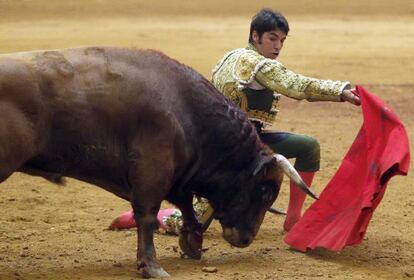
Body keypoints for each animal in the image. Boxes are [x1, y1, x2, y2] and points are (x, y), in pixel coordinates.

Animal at [0, 47, 316, 278]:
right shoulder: (152, 171)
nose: (246, 239)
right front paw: (151, 266)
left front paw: (192, 243)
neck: (188, 110)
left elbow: (186, 206)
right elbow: (148, 216)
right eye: (264, 190)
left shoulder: (177, 176)